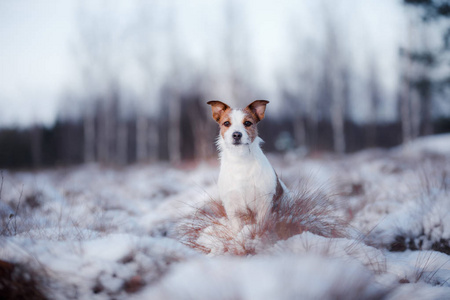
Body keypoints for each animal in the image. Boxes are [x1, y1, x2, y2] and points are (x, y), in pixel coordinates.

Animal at [207, 99, 288, 231]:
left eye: (247, 123)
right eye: (226, 123)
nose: (236, 135)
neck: (240, 159)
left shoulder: (263, 202)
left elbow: (261, 223)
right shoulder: (232, 206)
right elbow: (237, 228)